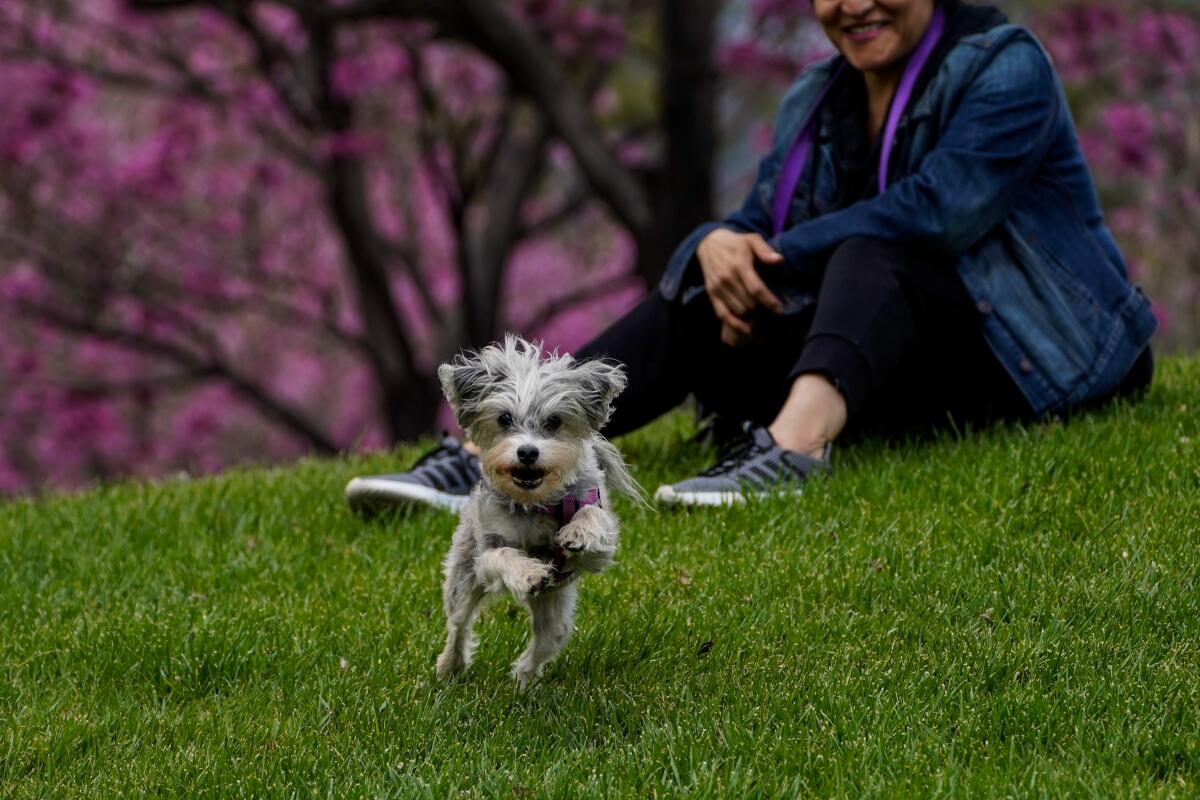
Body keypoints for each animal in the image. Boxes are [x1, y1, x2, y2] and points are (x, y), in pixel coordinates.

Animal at [429, 335, 638, 686]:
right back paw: (450, 667)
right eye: (504, 419)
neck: (534, 502)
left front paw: (578, 531)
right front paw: (529, 572)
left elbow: (592, 517)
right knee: (458, 625)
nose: (527, 451)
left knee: (544, 645)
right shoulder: (488, 550)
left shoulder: (598, 549)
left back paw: (523, 681)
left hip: (556, 615)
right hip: (462, 578)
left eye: (554, 421)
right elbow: (503, 556)